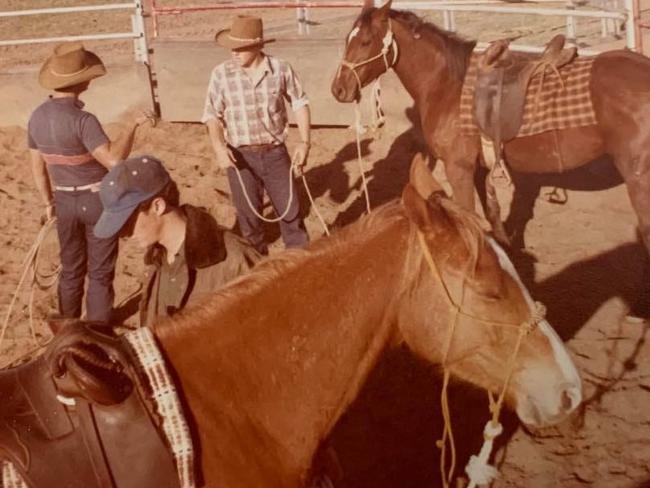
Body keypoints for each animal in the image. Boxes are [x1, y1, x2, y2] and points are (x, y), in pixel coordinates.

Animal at [330, 0, 648, 266]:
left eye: (366, 41)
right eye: (347, 39)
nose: (339, 89)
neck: (447, 86)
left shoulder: (458, 168)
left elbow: (468, 215)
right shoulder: (480, 168)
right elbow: (491, 214)